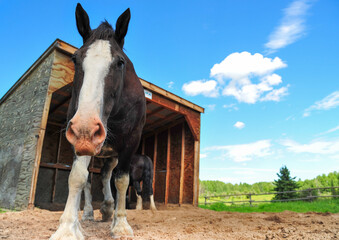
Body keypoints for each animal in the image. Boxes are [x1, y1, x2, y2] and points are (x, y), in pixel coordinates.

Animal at [50, 2, 146, 239]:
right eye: (75, 59)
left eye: (120, 62)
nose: (86, 128)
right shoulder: (79, 139)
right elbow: (77, 177)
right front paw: (67, 227)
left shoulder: (130, 142)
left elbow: (121, 180)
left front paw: (120, 224)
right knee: (90, 179)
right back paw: (87, 214)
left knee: (106, 174)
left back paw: (109, 209)